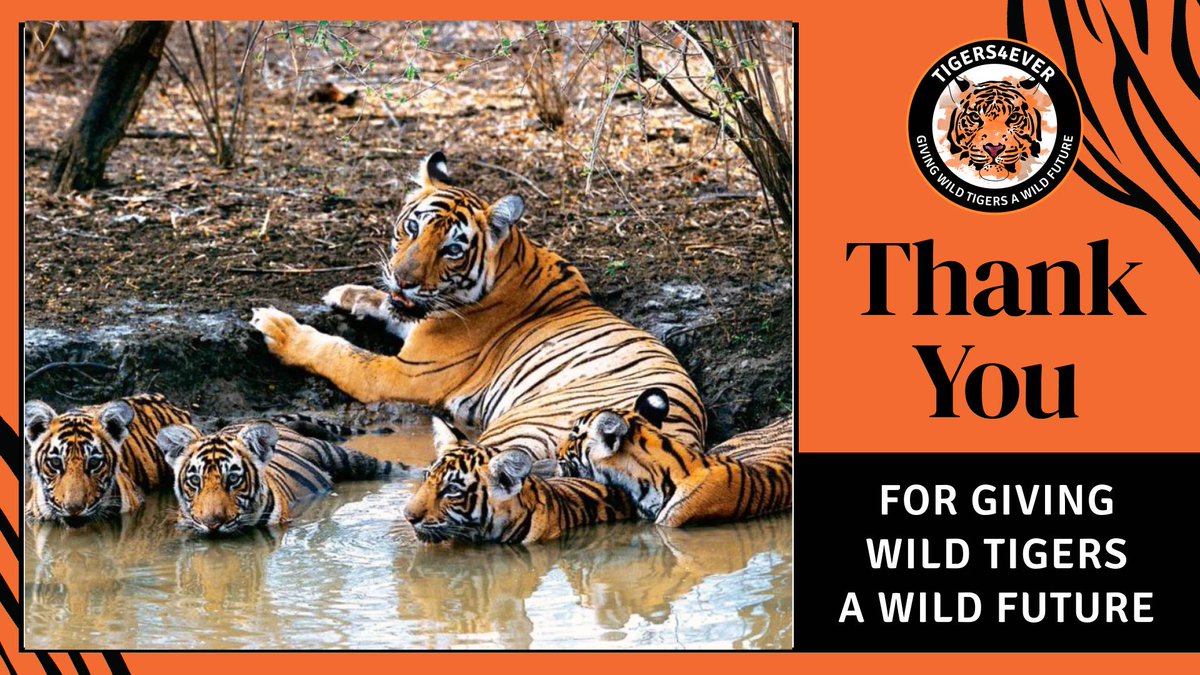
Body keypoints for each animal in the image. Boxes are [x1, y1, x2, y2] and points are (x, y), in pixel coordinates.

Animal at [250, 150, 705, 461]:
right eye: (411, 227)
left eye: (452, 249)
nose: (405, 279)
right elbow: (385, 305)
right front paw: (347, 293)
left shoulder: (405, 374)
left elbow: (341, 352)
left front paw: (278, 327)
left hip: (523, 426)